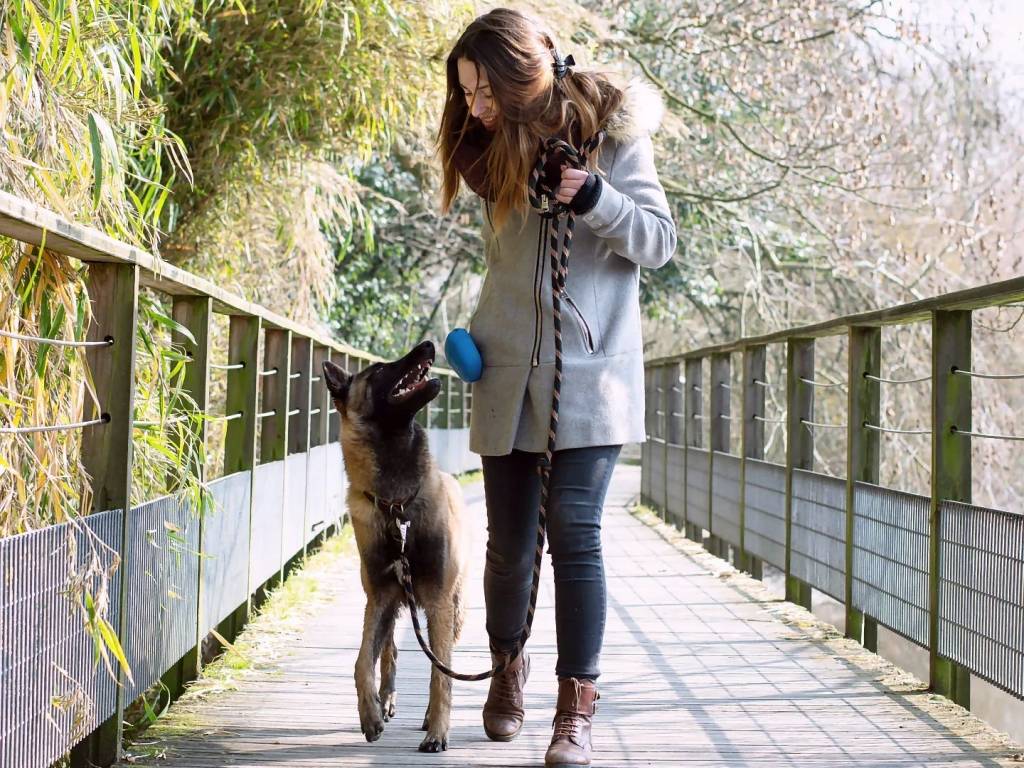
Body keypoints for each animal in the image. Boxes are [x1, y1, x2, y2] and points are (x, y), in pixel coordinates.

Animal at [322, 340, 469, 753]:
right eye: (379, 370)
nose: (430, 345)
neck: (398, 505)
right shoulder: (381, 597)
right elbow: (361, 662)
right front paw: (369, 715)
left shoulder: (437, 601)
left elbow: (441, 674)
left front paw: (438, 731)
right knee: (390, 649)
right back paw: (385, 699)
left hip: (454, 609)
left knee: (440, 659)